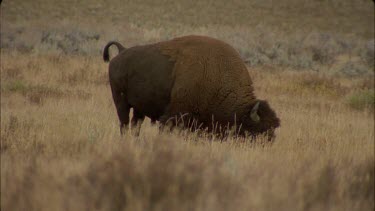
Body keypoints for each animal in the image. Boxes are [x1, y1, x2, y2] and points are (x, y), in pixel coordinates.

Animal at [104, 34, 280, 140]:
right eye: (259, 130)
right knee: (124, 123)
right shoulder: (173, 116)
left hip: (139, 108)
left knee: (136, 124)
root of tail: (121, 51)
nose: (267, 145)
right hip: (121, 102)